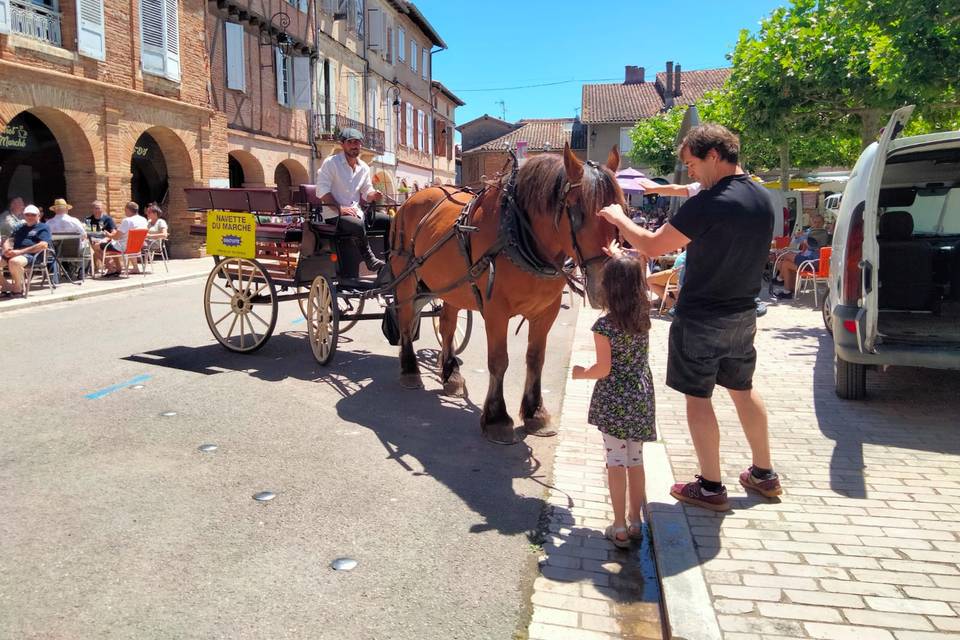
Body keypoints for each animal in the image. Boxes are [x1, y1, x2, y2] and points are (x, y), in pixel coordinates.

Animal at [390, 145, 624, 444]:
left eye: (621, 211)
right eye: (577, 212)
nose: (606, 285)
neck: (516, 232)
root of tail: (411, 199)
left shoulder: (546, 312)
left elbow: (536, 359)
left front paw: (535, 413)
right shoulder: (495, 312)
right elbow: (499, 361)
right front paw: (497, 418)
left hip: (452, 287)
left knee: (447, 326)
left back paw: (451, 376)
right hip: (406, 280)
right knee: (407, 320)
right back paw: (410, 370)